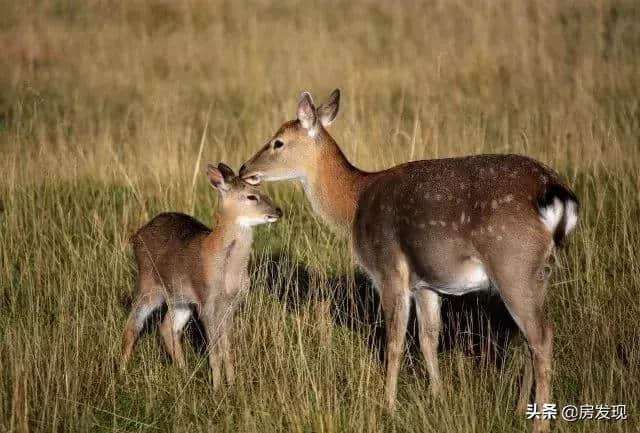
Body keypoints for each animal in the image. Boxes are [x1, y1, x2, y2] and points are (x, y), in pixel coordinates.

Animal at [240, 89, 580, 430]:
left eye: (278, 142)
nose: (244, 168)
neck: (354, 203)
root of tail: (556, 193)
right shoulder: (426, 284)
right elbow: (428, 338)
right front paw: (438, 397)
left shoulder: (389, 269)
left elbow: (394, 341)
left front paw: (387, 406)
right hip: (540, 271)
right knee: (528, 338)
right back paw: (520, 409)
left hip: (513, 262)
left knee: (542, 336)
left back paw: (539, 422)